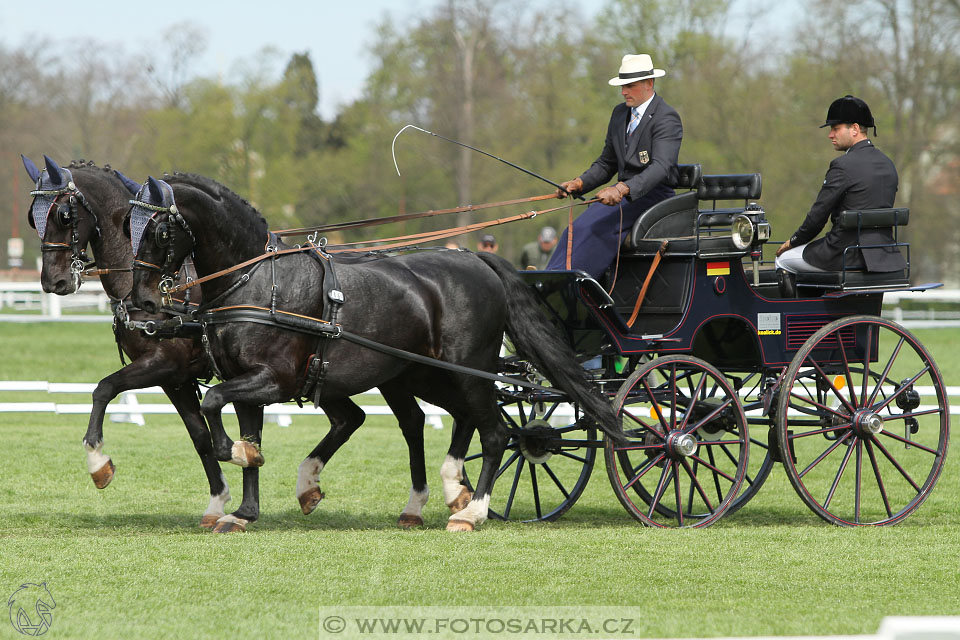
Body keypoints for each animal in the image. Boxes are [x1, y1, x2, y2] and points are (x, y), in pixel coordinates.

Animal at [21, 156, 232, 528]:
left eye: (64, 215)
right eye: (33, 216)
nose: (53, 282)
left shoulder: (163, 364)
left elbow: (104, 388)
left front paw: (97, 462)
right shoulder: (175, 379)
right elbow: (200, 437)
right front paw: (218, 500)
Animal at [129, 172, 624, 532]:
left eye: (158, 230)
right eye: (125, 227)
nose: (144, 302)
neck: (256, 281)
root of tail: (473, 258)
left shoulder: (274, 380)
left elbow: (213, 403)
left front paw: (236, 458)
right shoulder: (245, 380)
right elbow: (247, 434)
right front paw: (244, 507)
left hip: (467, 370)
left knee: (496, 433)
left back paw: (471, 512)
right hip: (424, 374)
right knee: (455, 419)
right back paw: (447, 492)